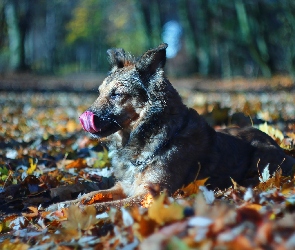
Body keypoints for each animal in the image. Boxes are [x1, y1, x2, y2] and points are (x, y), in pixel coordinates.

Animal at [47, 44, 294, 212]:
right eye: (99, 92)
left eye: (116, 94)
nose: (84, 118)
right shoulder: (123, 186)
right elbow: (91, 194)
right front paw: (61, 205)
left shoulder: (150, 194)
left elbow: (98, 206)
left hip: (261, 158)